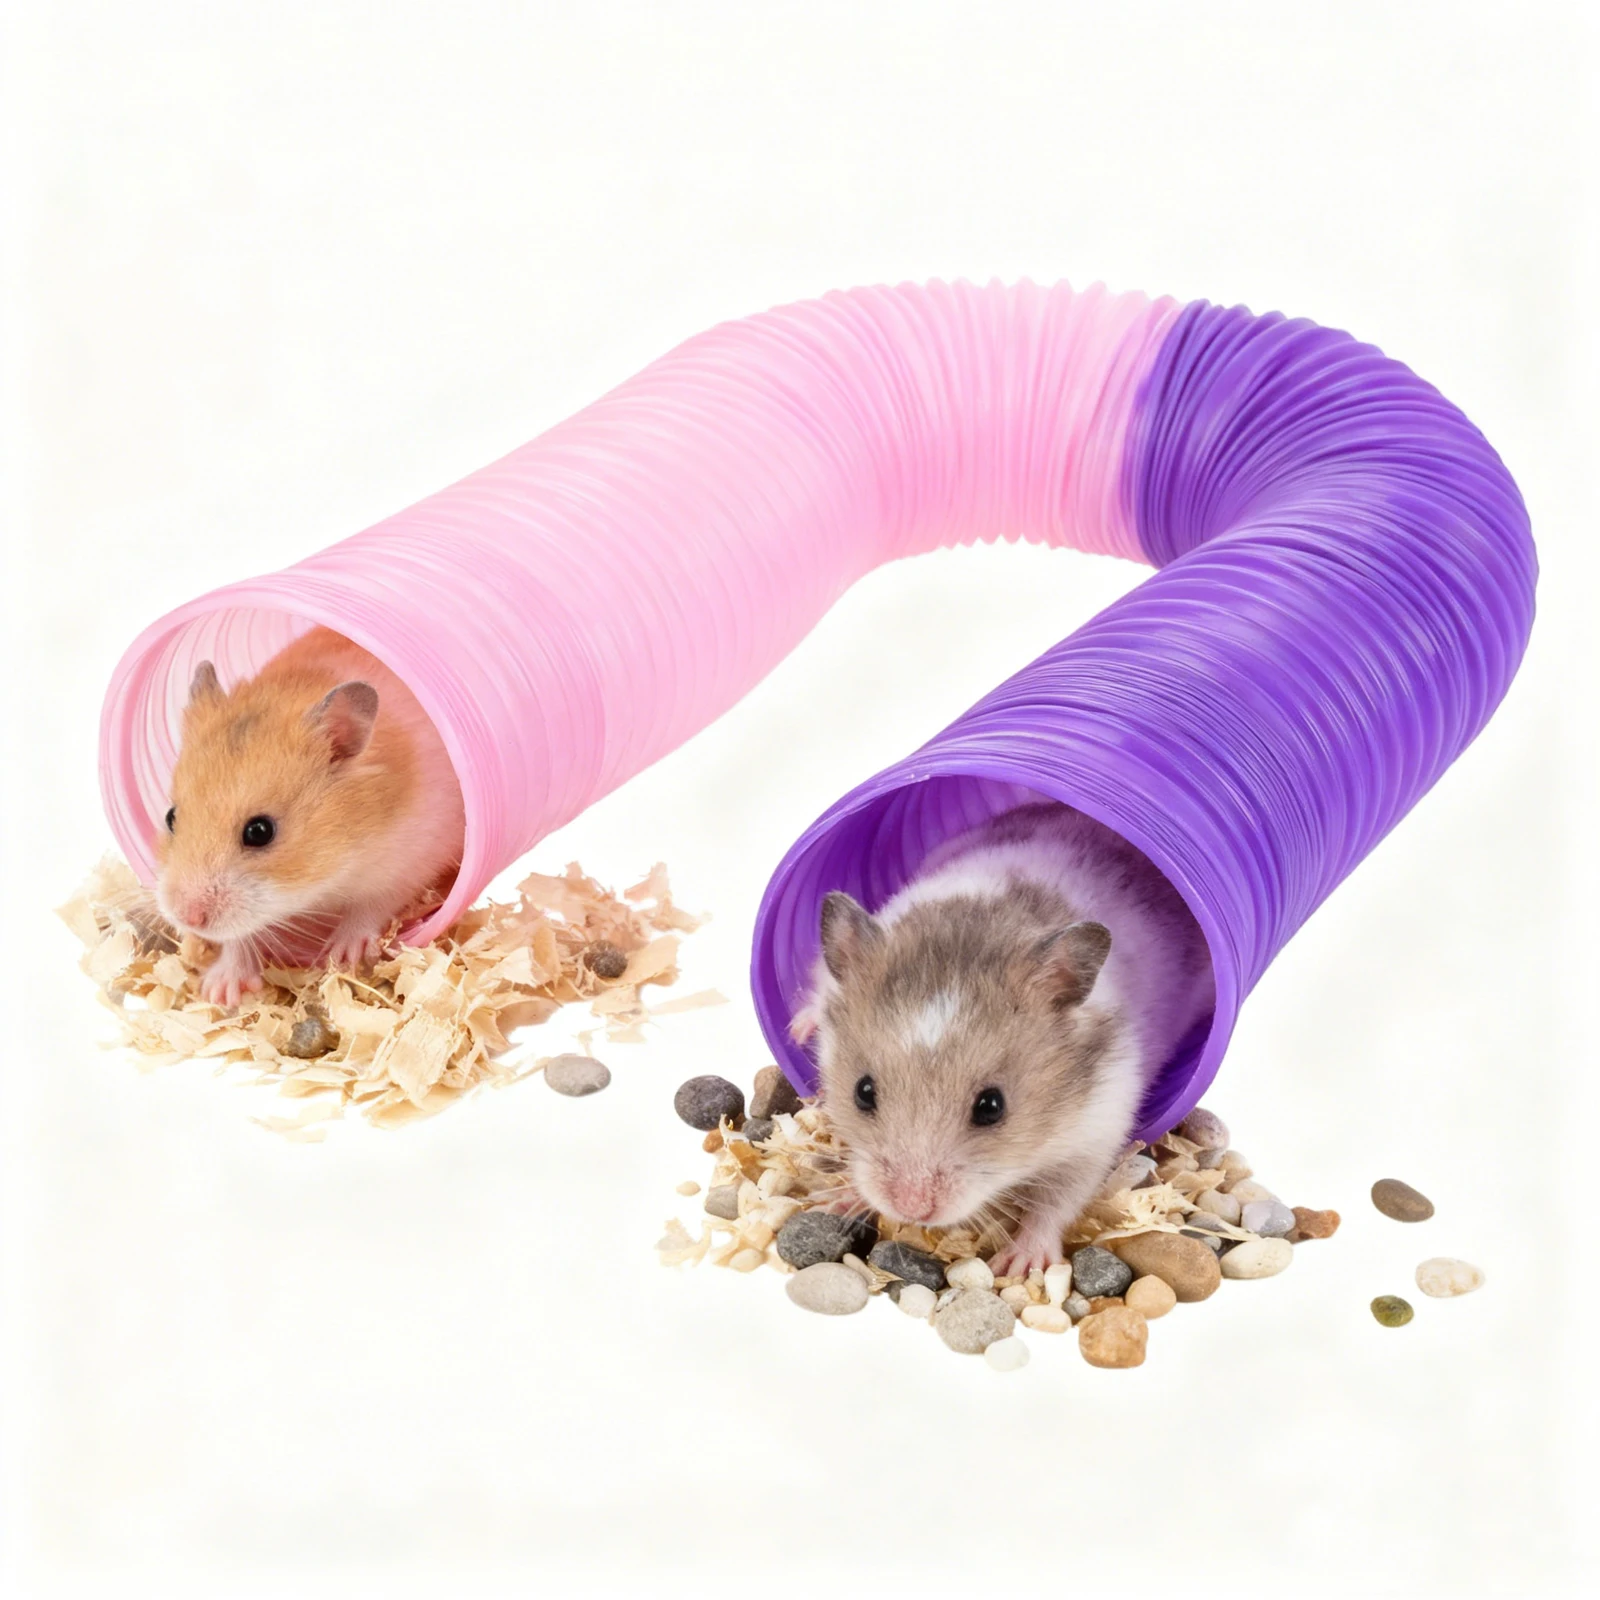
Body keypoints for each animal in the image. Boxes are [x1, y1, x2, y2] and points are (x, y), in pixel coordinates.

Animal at [155, 626, 466, 1007]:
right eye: (170, 817)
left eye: (260, 831)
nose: (188, 918)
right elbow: (241, 936)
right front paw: (219, 992)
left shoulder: (408, 861)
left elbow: (371, 907)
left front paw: (342, 956)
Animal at [801, 801, 1214, 1277]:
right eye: (863, 1092)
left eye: (991, 1107)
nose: (912, 1208)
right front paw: (834, 1199)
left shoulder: (1097, 1129)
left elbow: (1058, 1200)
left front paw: (1020, 1266)